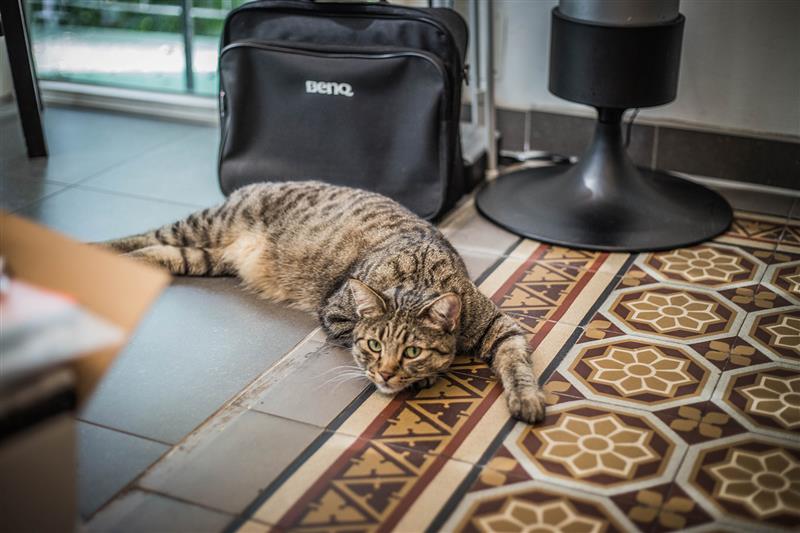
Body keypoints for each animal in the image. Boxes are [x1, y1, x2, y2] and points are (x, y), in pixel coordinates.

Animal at [103, 181, 548, 422]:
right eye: (374, 346)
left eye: (412, 350)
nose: (385, 374)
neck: (417, 274)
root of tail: (254, 185)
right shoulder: (335, 314)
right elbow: (351, 337)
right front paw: (420, 377)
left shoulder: (501, 327)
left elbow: (517, 363)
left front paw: (525, 398)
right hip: (204, 226)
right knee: (145, 235)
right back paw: (95, 249)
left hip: (205, 257)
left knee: (159, 252)